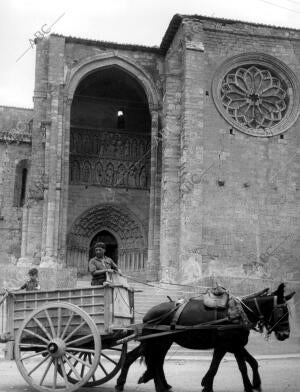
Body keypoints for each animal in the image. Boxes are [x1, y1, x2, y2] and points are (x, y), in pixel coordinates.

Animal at [115, 284, 296, 392]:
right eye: (282, 311)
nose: (285, 335)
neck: (240, 313)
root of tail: (148, 315)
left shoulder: (235, 345)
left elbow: (250, 363)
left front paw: (254, 384)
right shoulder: (226, 345)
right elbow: (229, 366)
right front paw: (209, 385)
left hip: (162, 341)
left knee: (153, 361)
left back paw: (160, 385)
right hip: (155, 341)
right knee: (146, 360)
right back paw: (136, 384)